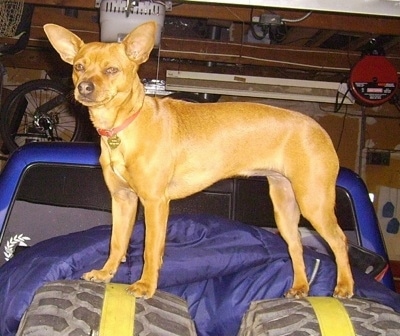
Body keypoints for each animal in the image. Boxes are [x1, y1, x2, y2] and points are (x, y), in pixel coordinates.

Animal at [43, 21, 354, 300]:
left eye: (111, 70)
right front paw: (106, 273)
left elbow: (150, 249)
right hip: (285, 208)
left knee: (340, 240)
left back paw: (344, 287)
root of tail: (318, 129)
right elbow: (117, 243)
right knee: (296, 247)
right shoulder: (123, 200)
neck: (124, 127)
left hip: (314, 202)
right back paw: (301, 288)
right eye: (78, 67)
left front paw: (146, 286)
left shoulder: (154, 202)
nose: (84, 88)